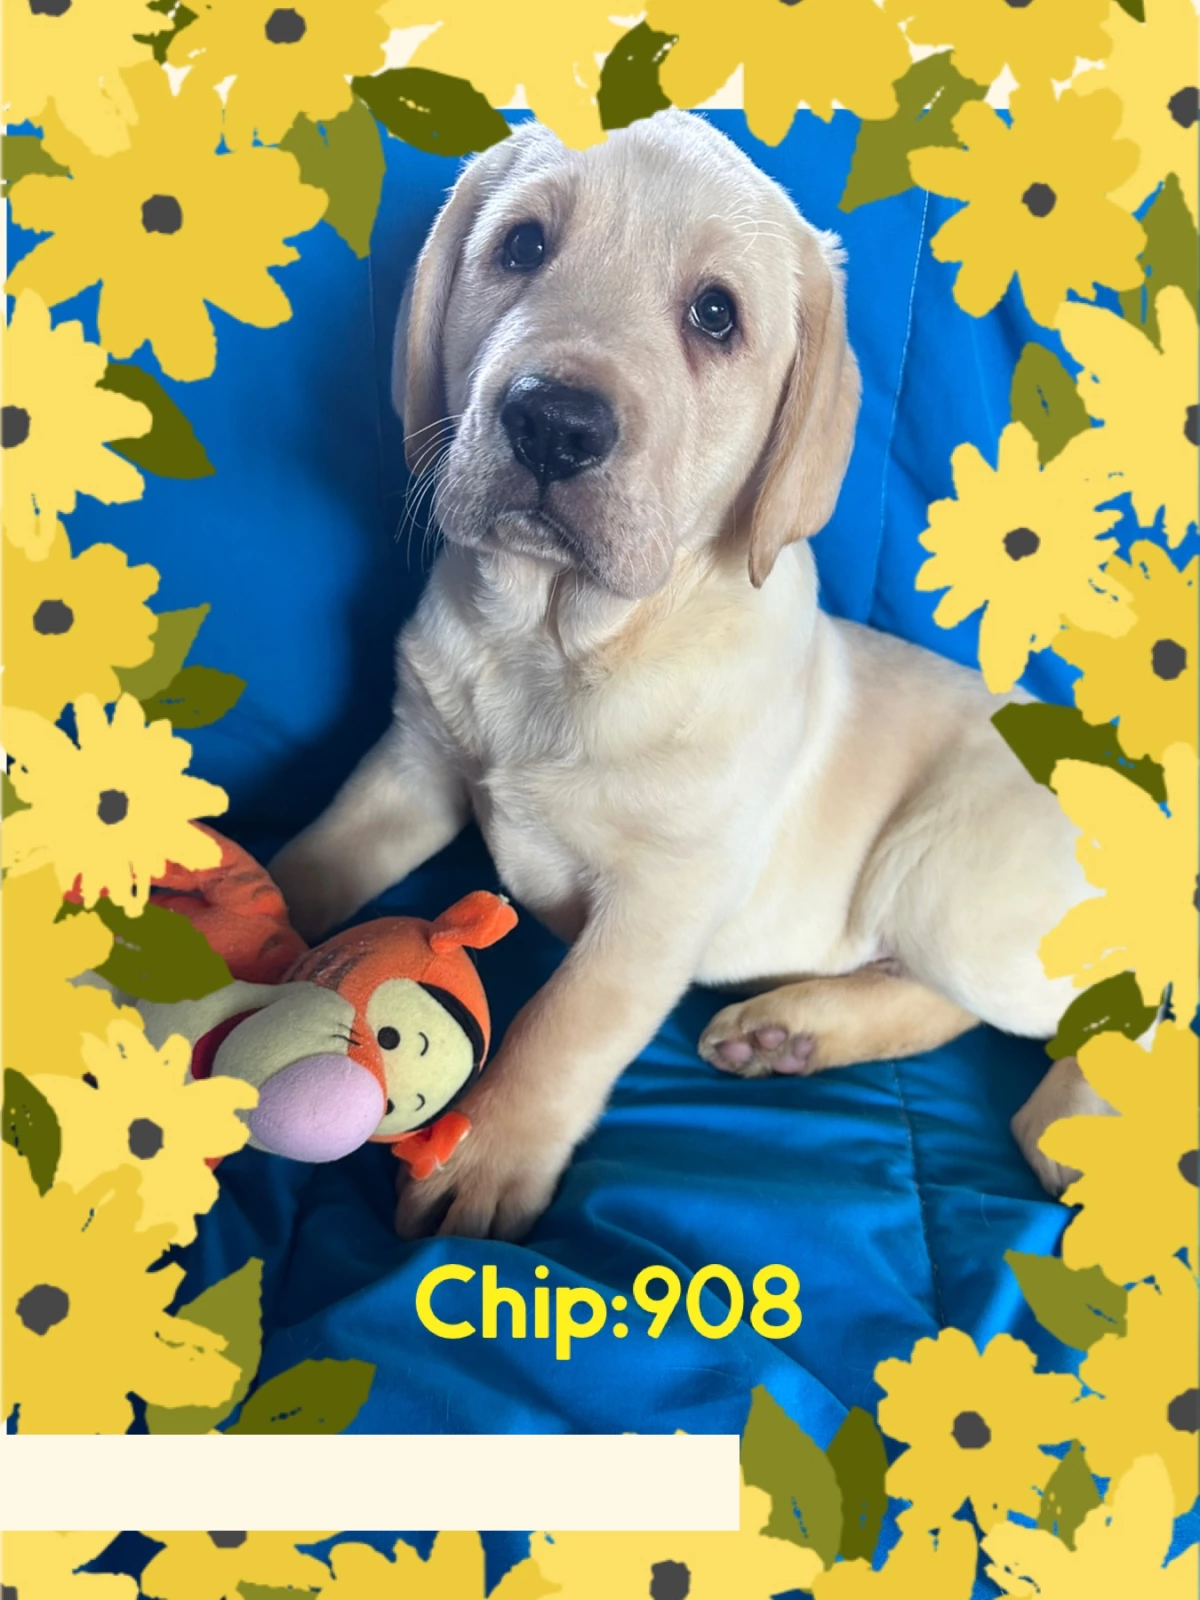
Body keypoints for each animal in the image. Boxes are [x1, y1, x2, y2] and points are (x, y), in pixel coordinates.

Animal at [271, 110, 1106, 1241]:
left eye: (716, 315)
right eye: (522, 245)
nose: (553, 421)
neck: (558, 640)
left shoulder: (666, 892)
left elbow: (568, 1020)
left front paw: (486, 1155)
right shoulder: (410, 764)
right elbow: (308, 861)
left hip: (953, 891)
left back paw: (1070, 1112)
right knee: (940, 1002)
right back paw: (795, 1030)